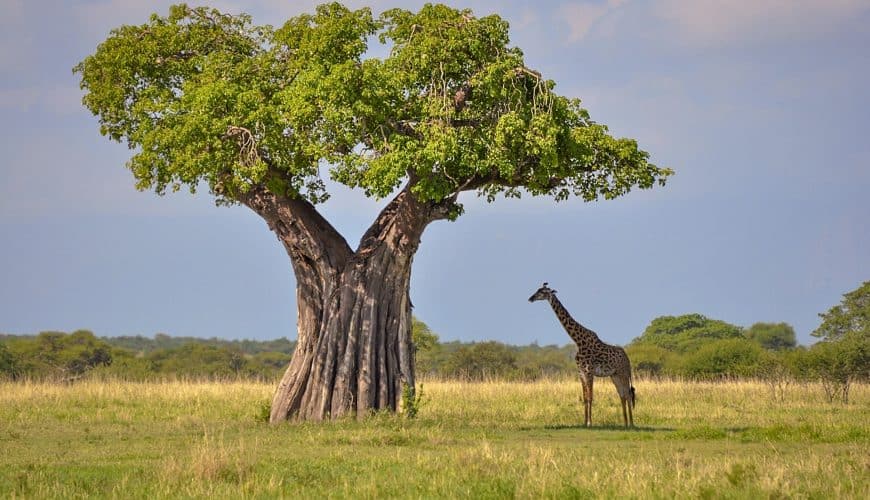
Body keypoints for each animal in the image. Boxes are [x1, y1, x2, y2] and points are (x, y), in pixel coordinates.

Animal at [528, 284, 636, 428]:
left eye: (543, 292)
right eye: (537, 290)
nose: (530, 298)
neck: (578, 341)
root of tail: (627, 358)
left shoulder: (589, 372)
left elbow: (590, 397)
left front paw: (590, 422)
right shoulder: (581, 372)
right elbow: (585, 397)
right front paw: (585, 422)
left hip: (623, 374)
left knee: (628, 394)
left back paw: (632, 424)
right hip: (615, 375)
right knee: (622, 395)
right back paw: (625, 423)